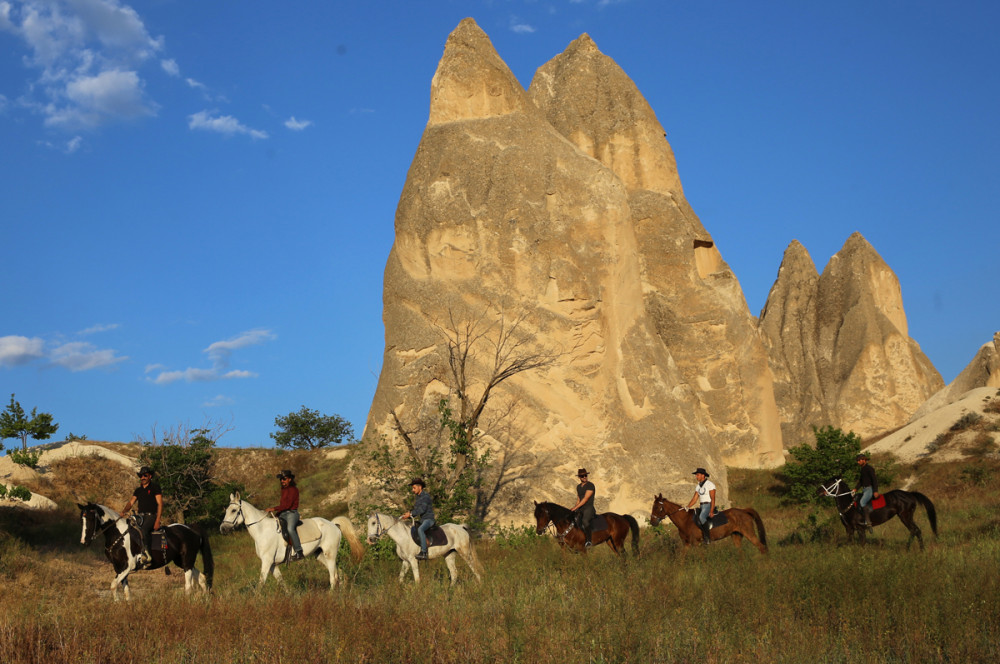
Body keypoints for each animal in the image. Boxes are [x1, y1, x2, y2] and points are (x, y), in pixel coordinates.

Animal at [80, 500, 215, 600]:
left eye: (91, 518)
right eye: (82, 519)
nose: (84, 542)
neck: (119, 535)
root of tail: (191, 529)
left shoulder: (128, 566)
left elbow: (113, 585)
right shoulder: (118, 567)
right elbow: (126, 590)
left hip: (187, 561)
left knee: (188, 585)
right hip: (182, 561)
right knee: (202, 578)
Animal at [217, 492, 366, 592]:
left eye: (234, 510)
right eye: (227, 510)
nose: (223, 529)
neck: (262, 530)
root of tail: (334, 525)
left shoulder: (266, 562)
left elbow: (261, 583)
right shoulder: (272, 564)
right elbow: (281, 582)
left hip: (330, 554)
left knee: (333, 577)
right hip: (320, 555)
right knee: (337, 572)